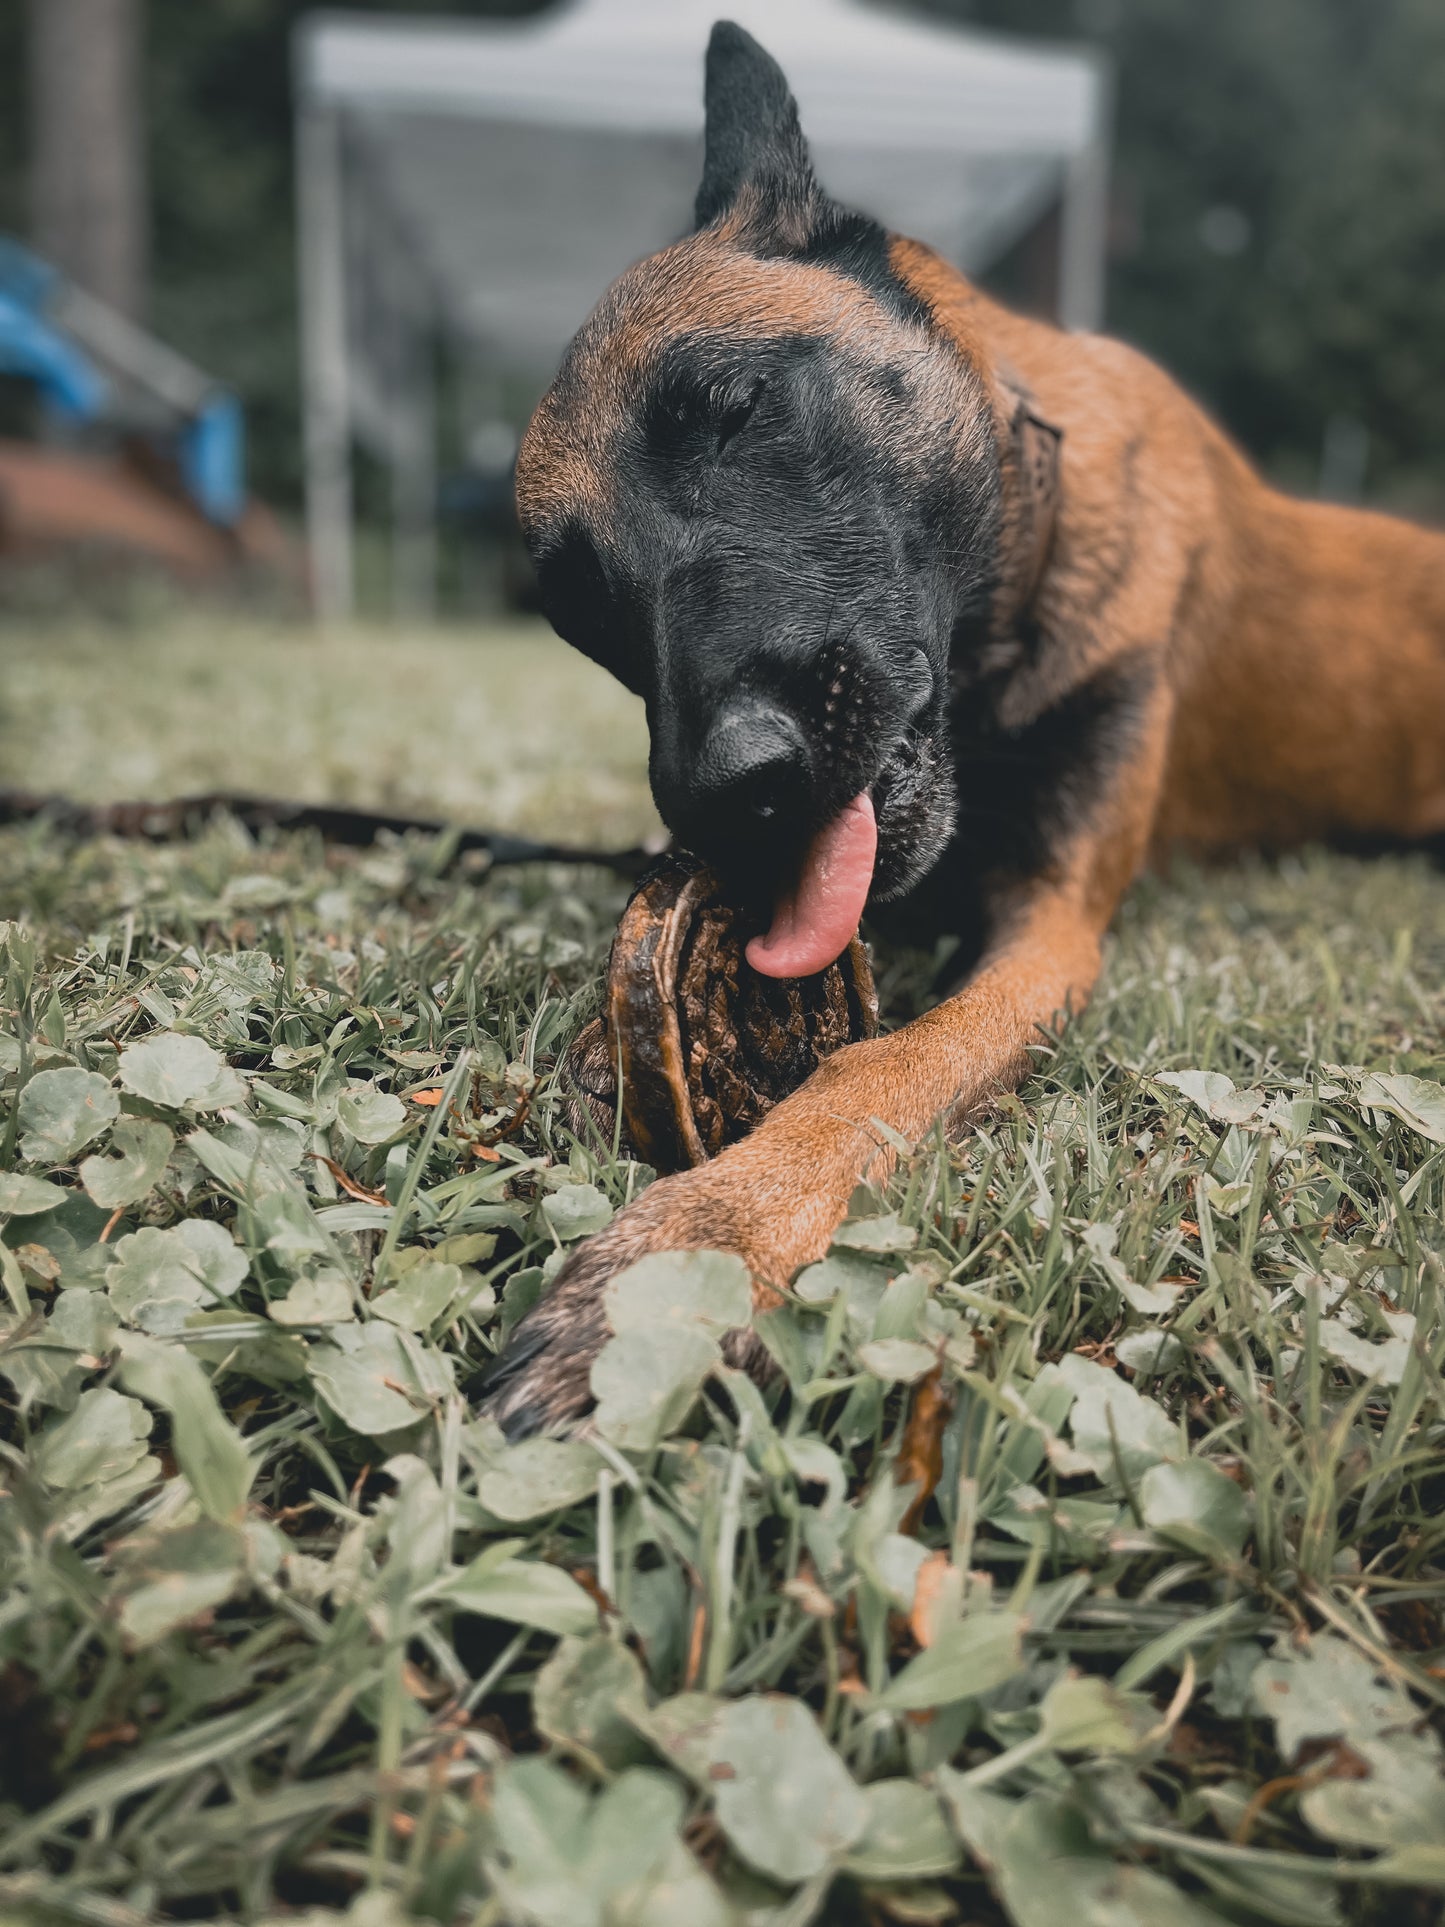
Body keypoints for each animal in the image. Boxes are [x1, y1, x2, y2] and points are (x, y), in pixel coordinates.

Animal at [483, 15, 1445, 1433]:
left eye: (731, 409)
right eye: (574, 607)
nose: (722, 794)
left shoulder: (1048, 931)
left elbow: (874, 1070)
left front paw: (691, 1247)